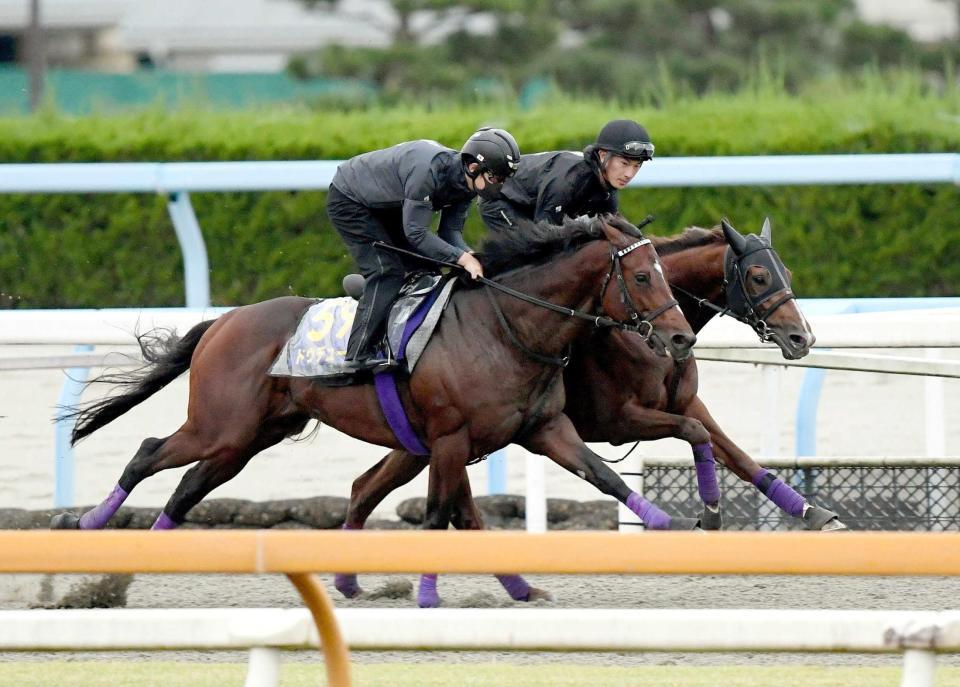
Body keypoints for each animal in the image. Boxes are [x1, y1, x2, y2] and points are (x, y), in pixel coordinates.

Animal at [54, 216, 696, 568]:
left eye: (667, 272)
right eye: (643, 275)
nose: (681, 336)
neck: (505, 326)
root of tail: (223, 321)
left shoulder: (543, 429)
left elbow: (603, 475)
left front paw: (670, 523)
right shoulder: (450, 438)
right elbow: (439, 516)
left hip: (249, 436)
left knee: (189, 486)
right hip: (221, 425)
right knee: (147, 454)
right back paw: (85, 524)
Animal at [338, 218, 848, 604]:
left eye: (786, 271)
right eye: (759, 276)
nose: (802, 337)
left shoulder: (686, 401)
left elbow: (735, 453)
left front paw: (813, 511)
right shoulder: (619, 421)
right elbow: (693, 435)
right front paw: (710, 513)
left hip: (422, 442)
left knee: (366, 486)